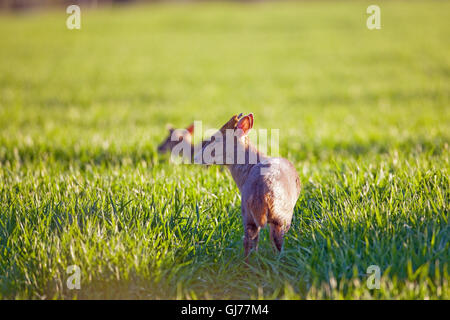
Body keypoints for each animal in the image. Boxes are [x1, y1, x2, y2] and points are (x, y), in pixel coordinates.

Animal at [194, 114, 302, 258]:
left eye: (215, 138)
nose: (195, 157)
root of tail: (261, 194)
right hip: (282, 216)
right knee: (275, 241)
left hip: (247, 213)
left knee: (249, 240)